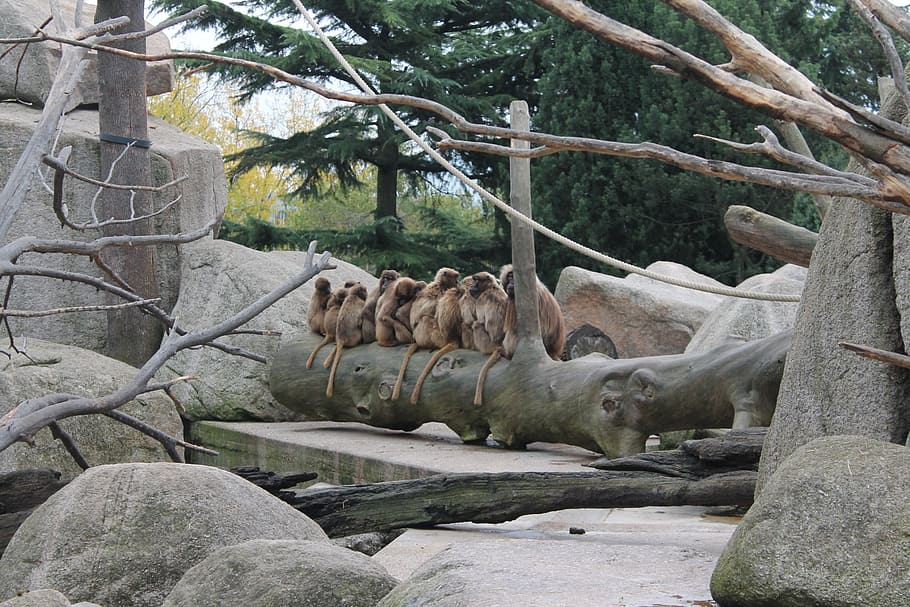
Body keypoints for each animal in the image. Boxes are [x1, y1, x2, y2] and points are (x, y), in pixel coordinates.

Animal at [394, 267, 461, 401]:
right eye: (456, 277)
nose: (458, 282)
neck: (441, 285)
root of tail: (416, 338)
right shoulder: (437, 290)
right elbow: (428, 310)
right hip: (428, 335)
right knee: (426, 318)